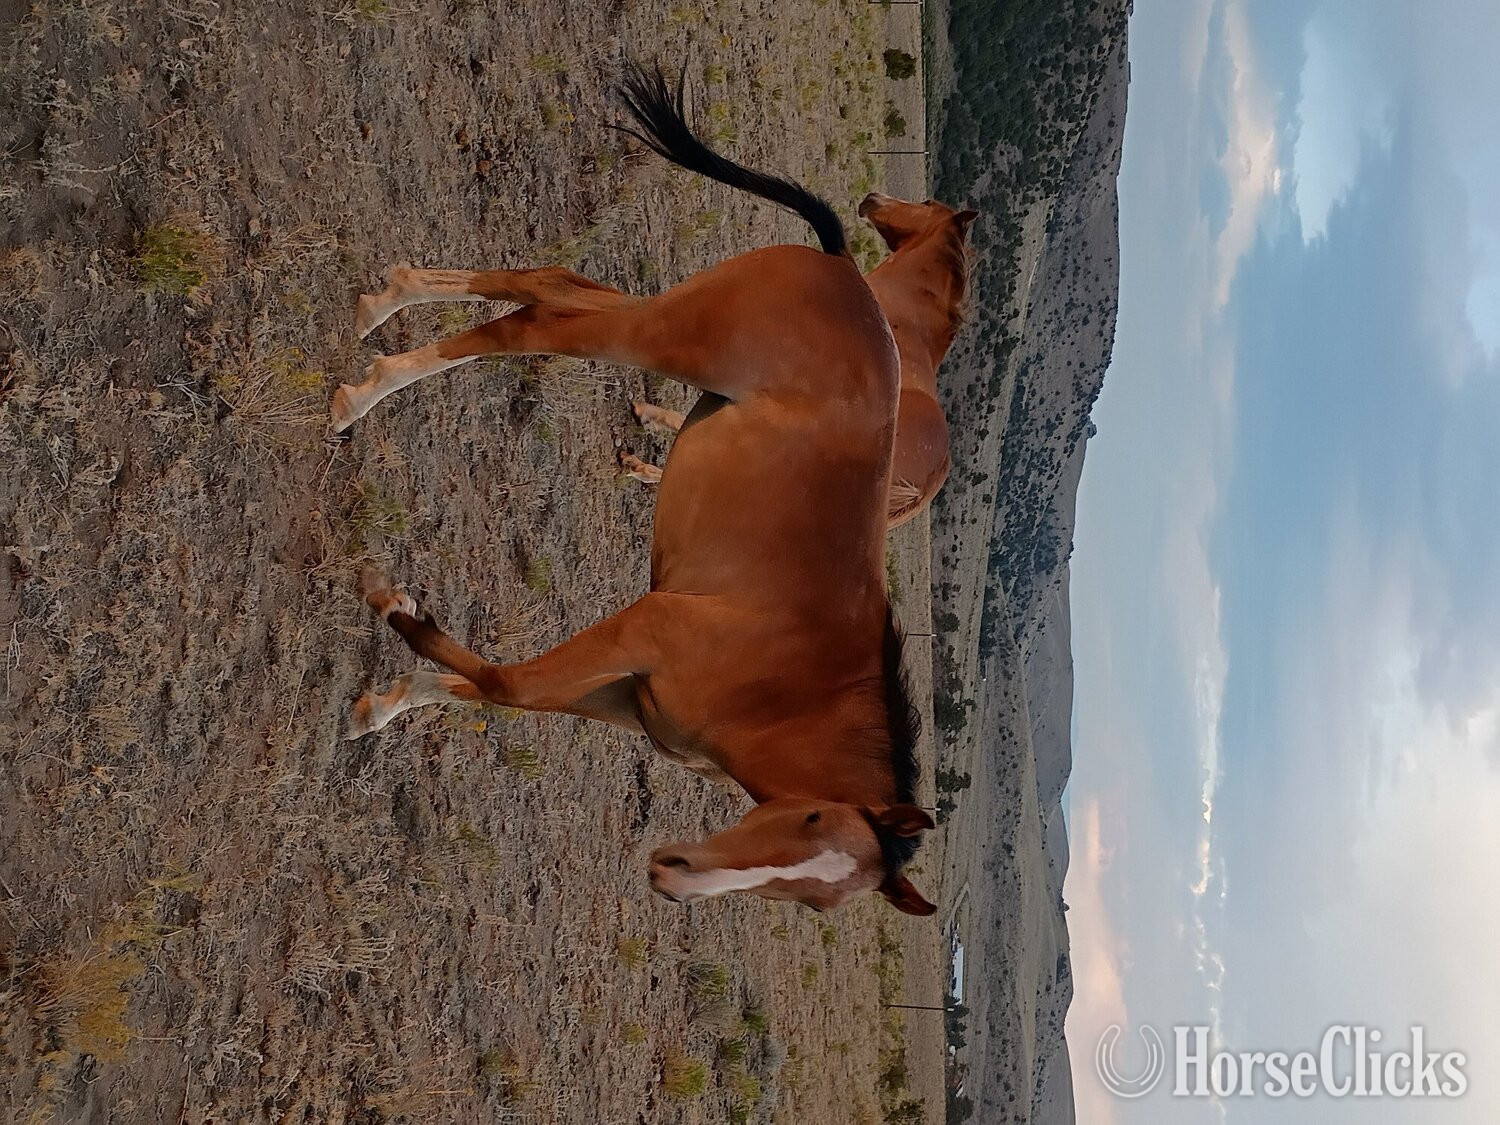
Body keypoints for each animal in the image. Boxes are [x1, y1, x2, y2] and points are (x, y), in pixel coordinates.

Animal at [334, 63, 937, 916]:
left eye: (815, 900)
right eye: (810, 815)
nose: (674, 875)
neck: (790, 683)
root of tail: (847, 270)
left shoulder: (621, 697)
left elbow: (486, 691)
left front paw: (385, 701)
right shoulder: (644, 628)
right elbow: (504, 681)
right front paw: (392, 602)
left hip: (660, 318)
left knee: (553, 285)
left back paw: (387, 299)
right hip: (666, 335)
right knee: (536, 319)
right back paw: (365, 389)